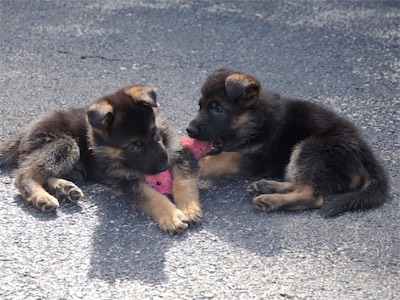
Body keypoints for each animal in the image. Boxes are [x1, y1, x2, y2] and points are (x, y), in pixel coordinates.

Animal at [0, 85, 200, 233]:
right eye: (133, 146)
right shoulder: (126, 180)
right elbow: (151, 196)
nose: (164, 166)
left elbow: (183, 180)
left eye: (156, 134)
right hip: (66, 144)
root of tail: (26, 131)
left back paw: (64, 189)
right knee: (24, 174)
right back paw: (41, 196)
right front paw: (172, 216)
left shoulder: (178, 152)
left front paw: (189, 208)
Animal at [187, 69, 388, 217]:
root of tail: (363, 151)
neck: (257, 119)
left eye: (218, 109)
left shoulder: (255, 157)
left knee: (312, 195)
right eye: (200, 106)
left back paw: (270, 200)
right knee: (299, 183)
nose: (189, 130)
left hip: (311, 149)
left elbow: (220, 159)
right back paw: (266, 186)